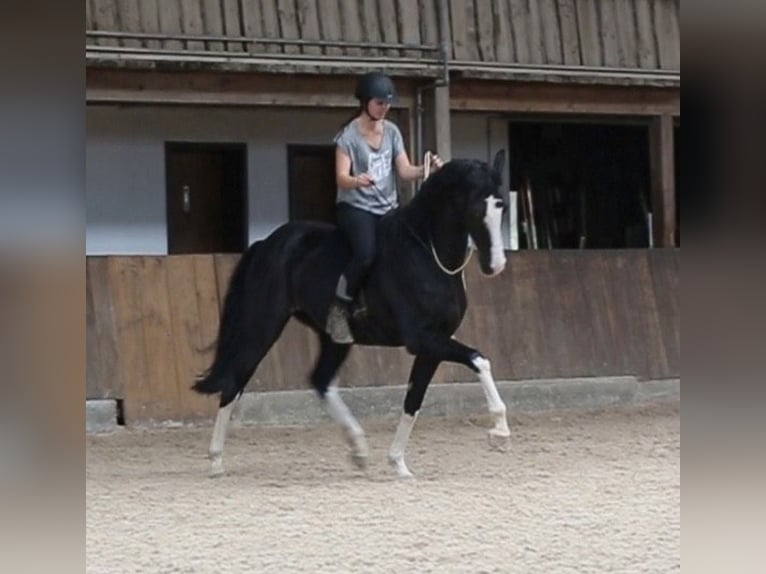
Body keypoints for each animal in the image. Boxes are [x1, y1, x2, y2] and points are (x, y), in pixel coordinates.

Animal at [195, 151, 512, 480]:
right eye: (477, 208)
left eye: (502, 205)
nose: (495, 265)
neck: (426, 252)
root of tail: (266, 244)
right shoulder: (423, 339)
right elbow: (479, 359)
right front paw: (499, 432)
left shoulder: (433, 346)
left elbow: (413, 401)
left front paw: (399, 464)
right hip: (263, 327)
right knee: (235, 381)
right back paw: (216, 462)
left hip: (334, 338)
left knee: (320, 380)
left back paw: (358, 449)